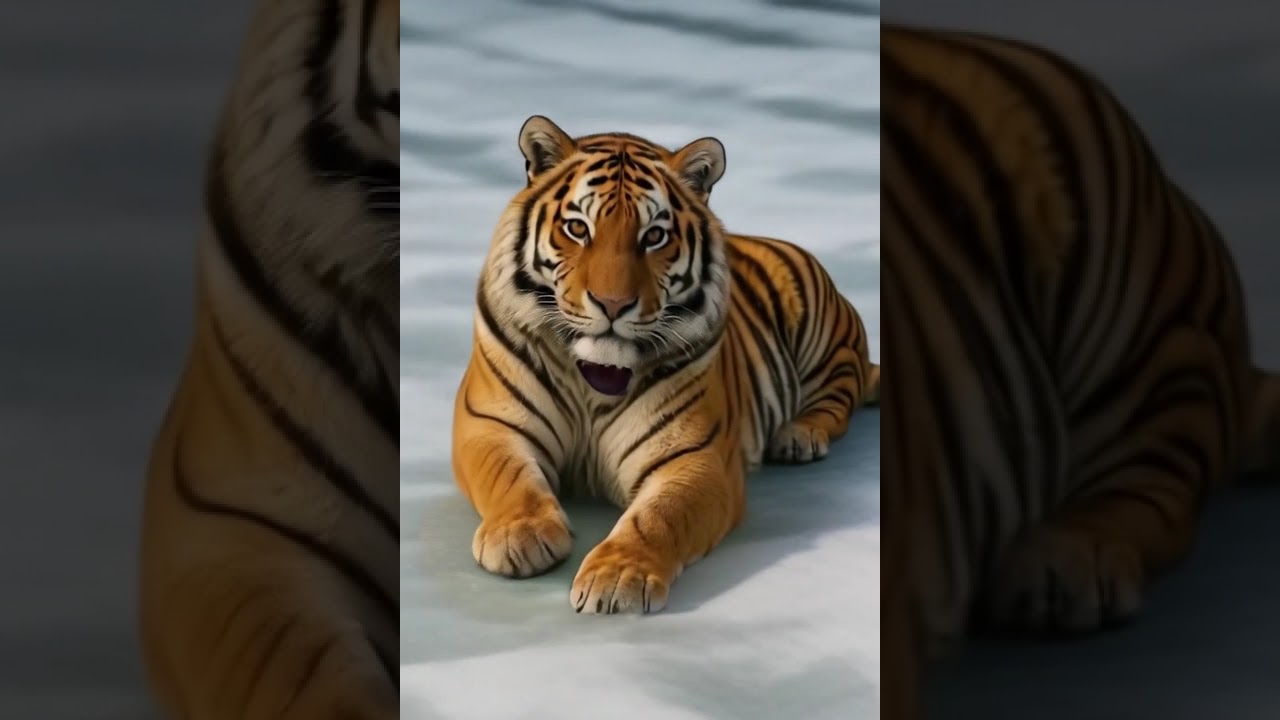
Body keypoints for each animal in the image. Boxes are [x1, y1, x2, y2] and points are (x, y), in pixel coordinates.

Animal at [450, 115, 880, 614]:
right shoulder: (489, 424)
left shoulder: (695, 457)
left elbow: (658, 516)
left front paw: (617, 577)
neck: (595, 377)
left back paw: (799, 435)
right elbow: (507, 476)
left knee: (841, 395)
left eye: (654, 236)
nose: (612, 304)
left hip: (820, 331)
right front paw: (520, 533)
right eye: (577, 228)